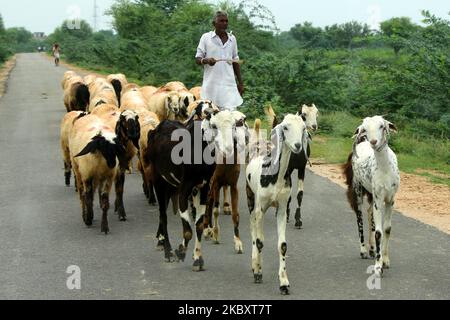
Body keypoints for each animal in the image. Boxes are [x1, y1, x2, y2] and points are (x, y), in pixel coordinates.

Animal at [246, 113, 310, 296]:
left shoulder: (281, 209)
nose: (297, 146)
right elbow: (259, 241)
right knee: (253, 230)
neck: (274, 173)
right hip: (251, 199)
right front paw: (258, 272)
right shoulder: (260, 208)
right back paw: (254, 264)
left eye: (303, 128)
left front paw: (284, 282)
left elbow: (282, 246)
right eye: (286, 127)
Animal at [342, 115, 400, 278]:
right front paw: (378, 267)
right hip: (358, 189)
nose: (373, 142)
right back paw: (364, 250)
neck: (385, 169)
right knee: (360, 216)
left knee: (369, 215)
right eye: (365, 128)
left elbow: (387, 228)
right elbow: (379, 233)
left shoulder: (390, 199)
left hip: (372, 193)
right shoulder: (379, 200)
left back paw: (373, 249)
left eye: (382, 126)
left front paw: (385, 260)